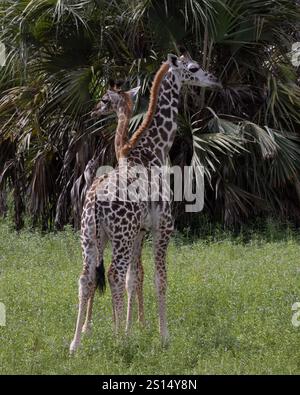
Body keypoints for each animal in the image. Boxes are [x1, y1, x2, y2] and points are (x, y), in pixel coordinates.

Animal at [69, 52, 220, 352]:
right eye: (194, 67)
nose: (214, 80)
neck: (154, 150)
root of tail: (94, 203)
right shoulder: (163, 227)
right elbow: (160, 279)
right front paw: (163, 336)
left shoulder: (141, 230)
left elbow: (135, 277)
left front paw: (135, 329)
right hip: (120, 235)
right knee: (113, 274)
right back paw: (117, 340)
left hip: (89, 236)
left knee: (86, 278)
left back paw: (75, 344)